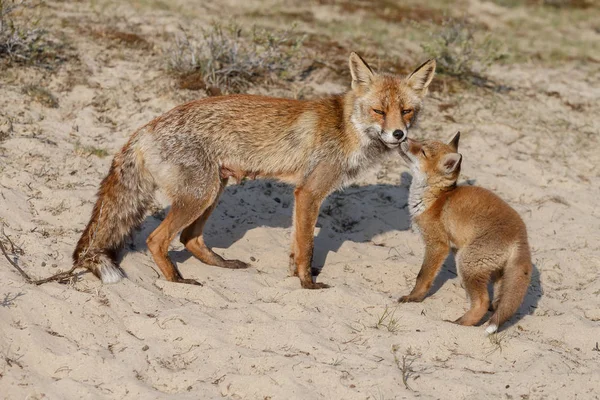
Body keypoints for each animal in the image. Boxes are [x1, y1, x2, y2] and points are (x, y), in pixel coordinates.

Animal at [74, 54, 436, 290]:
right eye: (379, 111)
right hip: (199, 195)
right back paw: (177, 280)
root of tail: (144, 128)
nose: (399, 135)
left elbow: (296, 245)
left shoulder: (302, 195)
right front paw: (307, 283)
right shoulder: (310, 192)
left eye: (406, 111)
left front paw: (295, 275)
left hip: (213, 191)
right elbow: (306, 246)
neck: (347, 128)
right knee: (157, 239)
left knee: (190, 238)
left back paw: (221, 264)